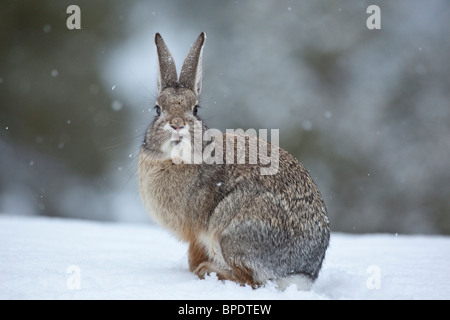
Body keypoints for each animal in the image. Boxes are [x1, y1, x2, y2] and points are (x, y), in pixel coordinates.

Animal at [138, 32, 330, 290]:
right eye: (157, 109)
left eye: (195, 109)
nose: (177, 125)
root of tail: (300, 273)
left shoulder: (197, 235)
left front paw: (196, 268)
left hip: (231, 232)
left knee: (250, 280)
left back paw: (207, 271)